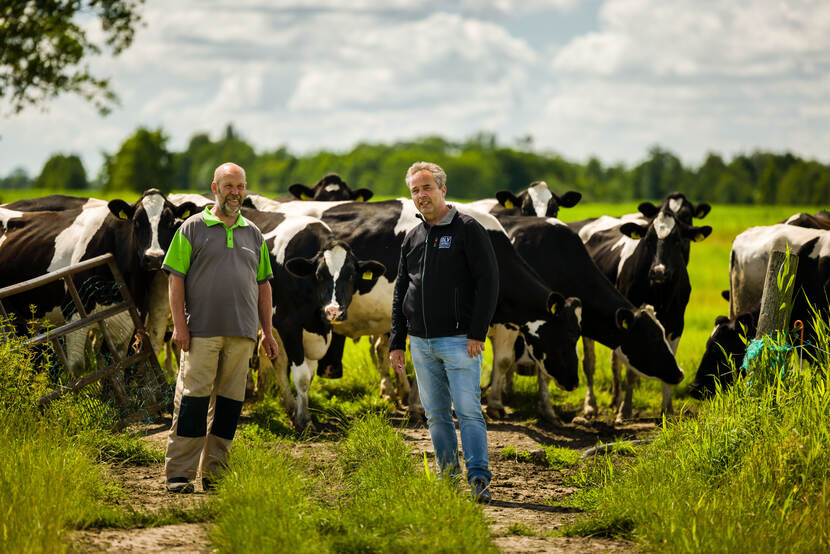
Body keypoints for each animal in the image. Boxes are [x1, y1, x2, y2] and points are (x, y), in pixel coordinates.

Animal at [572, 206, 716, 418]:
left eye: (677, 239)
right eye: (648, 240)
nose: (658, 271)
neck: (660, 294)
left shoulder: (676, 325)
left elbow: (668, 359)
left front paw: (667, 411)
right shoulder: (635, 322)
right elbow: (631, 371)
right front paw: (625, 411)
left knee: (615, 361)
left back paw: (615, 400)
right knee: (589, 362)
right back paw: (591, 405)